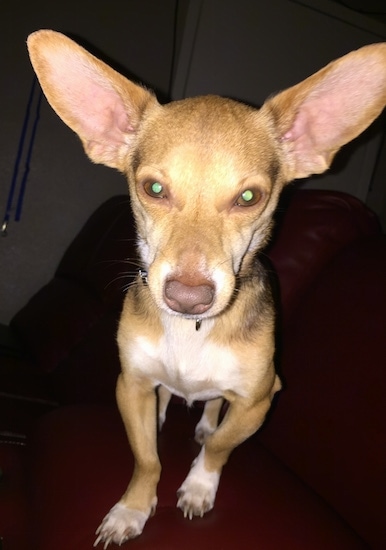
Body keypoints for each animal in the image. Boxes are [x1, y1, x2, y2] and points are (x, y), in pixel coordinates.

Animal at [27, 30, 386, 548]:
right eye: (153, 189)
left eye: (249, 198)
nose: (188, 298)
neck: (190, 331)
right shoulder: (130, 384)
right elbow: (147, 458)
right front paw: (132, 509)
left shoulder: (260, 400)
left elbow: (219, 444)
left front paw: (199, 485)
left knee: (214, 408)